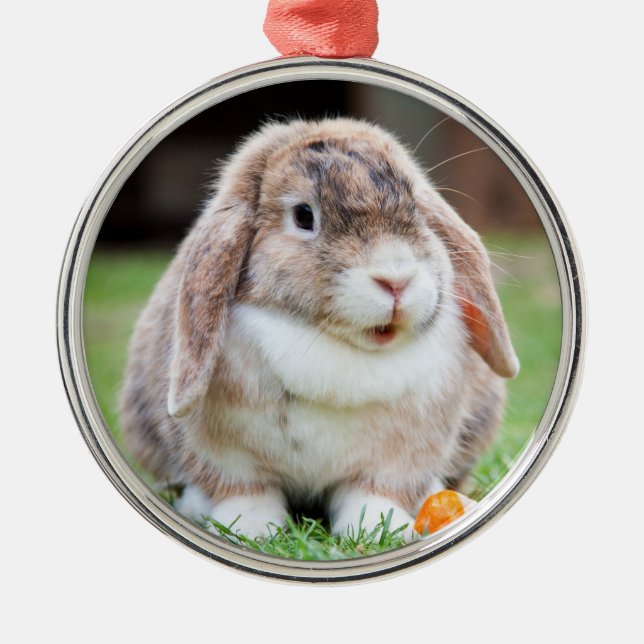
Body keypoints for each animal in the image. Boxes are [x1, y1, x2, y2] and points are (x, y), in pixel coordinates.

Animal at [119, 117, 519, 540]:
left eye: (415, 206)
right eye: (303, 216)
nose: (396, 280)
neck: (335, 346)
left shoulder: (398, 459)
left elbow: (374, 493)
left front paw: (381, 529)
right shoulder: (226, 456)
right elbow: (245, 491)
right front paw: (249, 530)